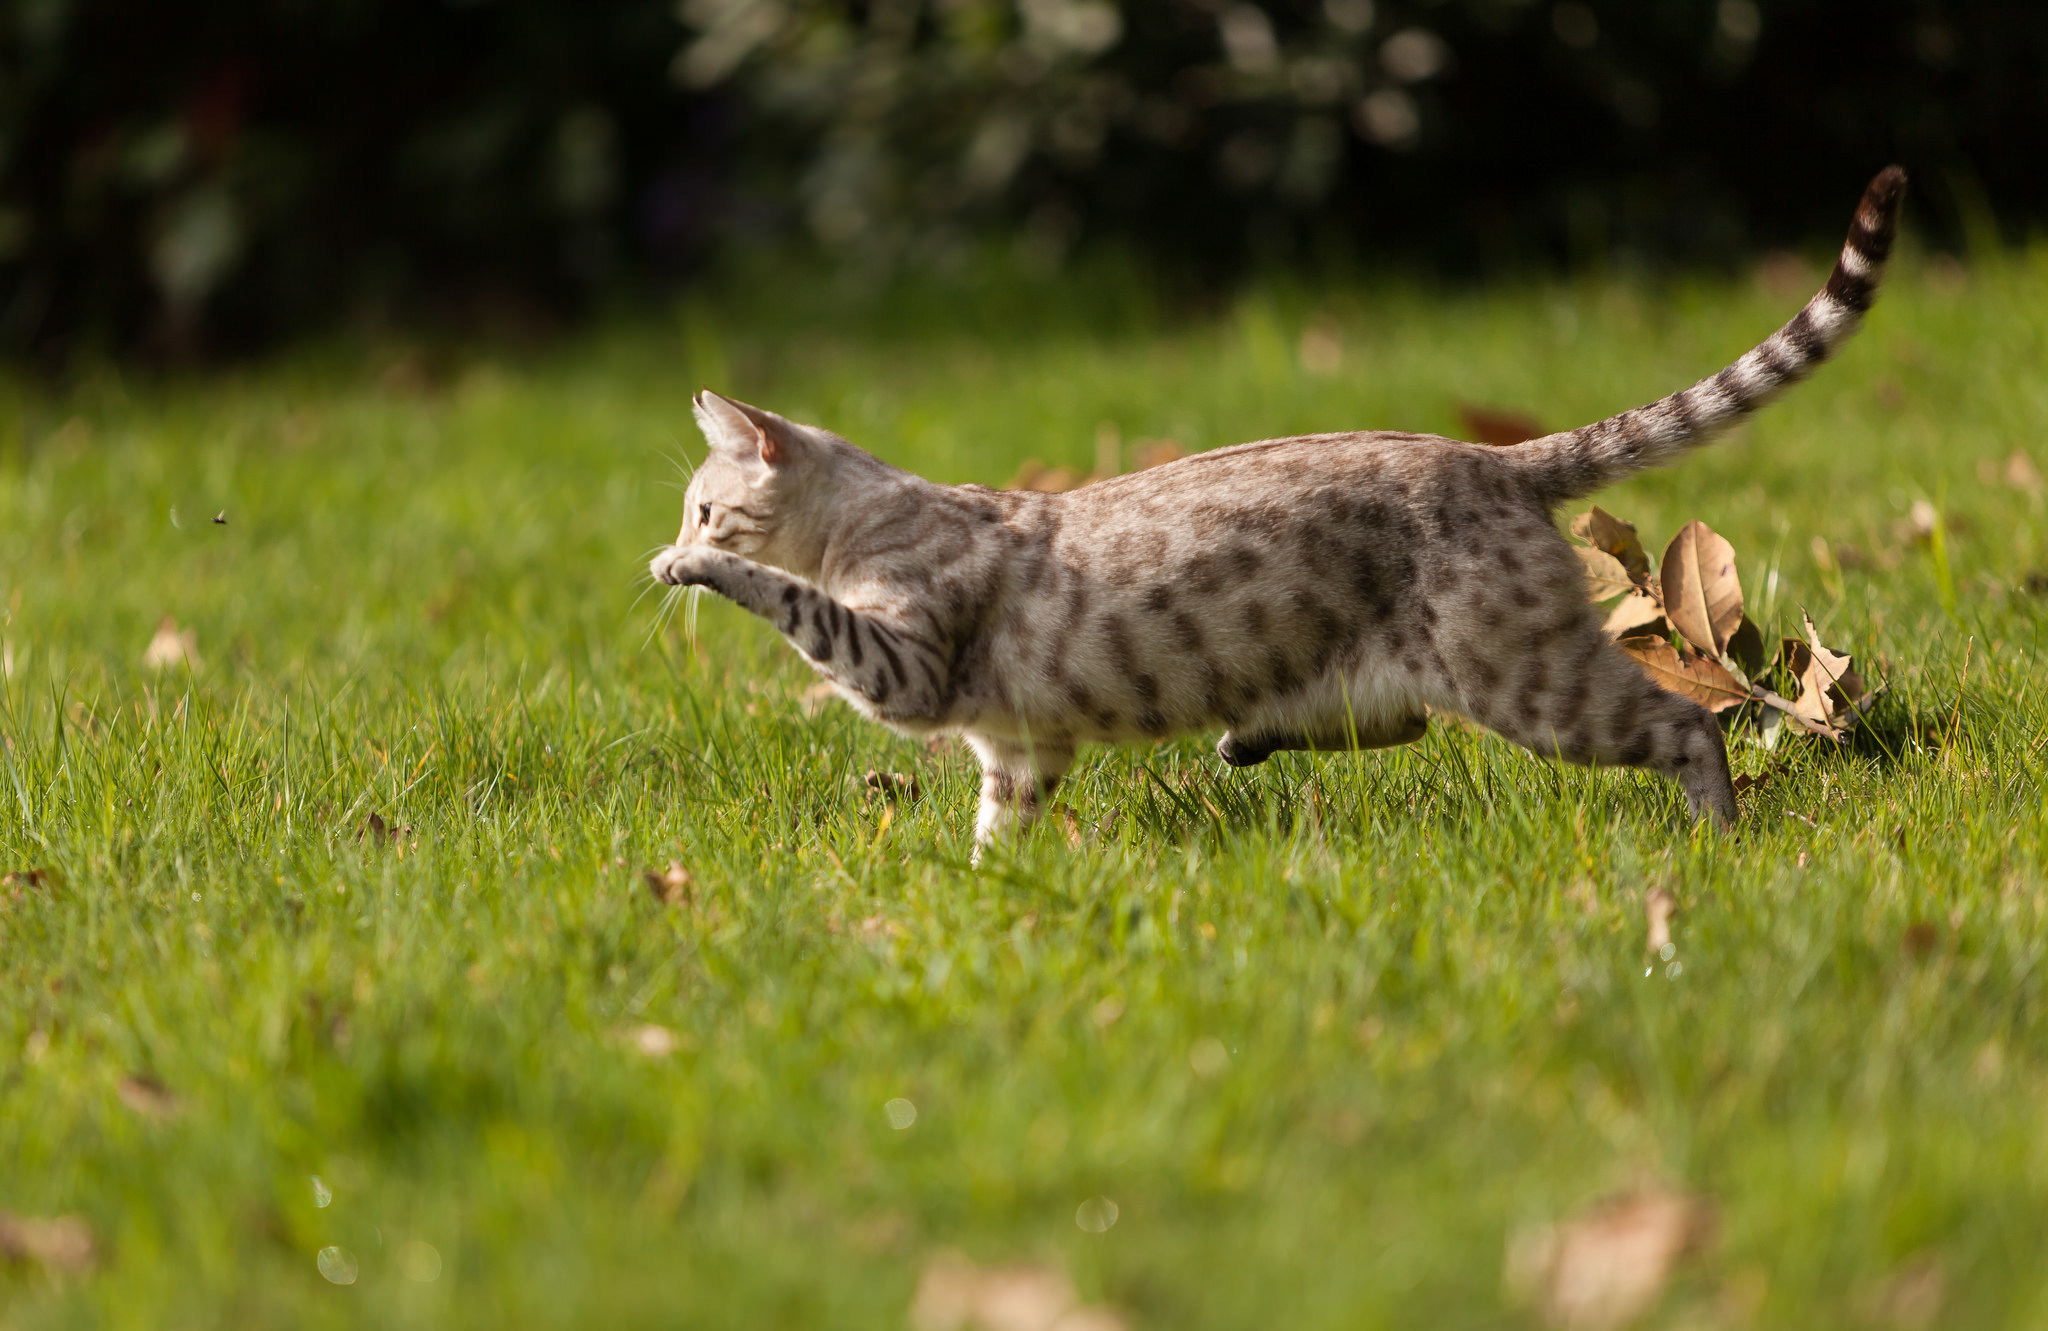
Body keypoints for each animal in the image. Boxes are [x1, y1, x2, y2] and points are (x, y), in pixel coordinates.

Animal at [651, 165, 1900, 855]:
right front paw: (987, 893)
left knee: (1687, 723)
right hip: (1387, 673)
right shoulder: (1022, 743)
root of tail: (1495, 461)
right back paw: (1242, 739)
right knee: (1392, 725)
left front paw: (693, 576)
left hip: (1523, 681)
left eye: (704, 512)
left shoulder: (905, 666)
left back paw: (1716, 845)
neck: (869, 514)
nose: (666, 549)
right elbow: (998, 828)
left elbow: (790, 603)